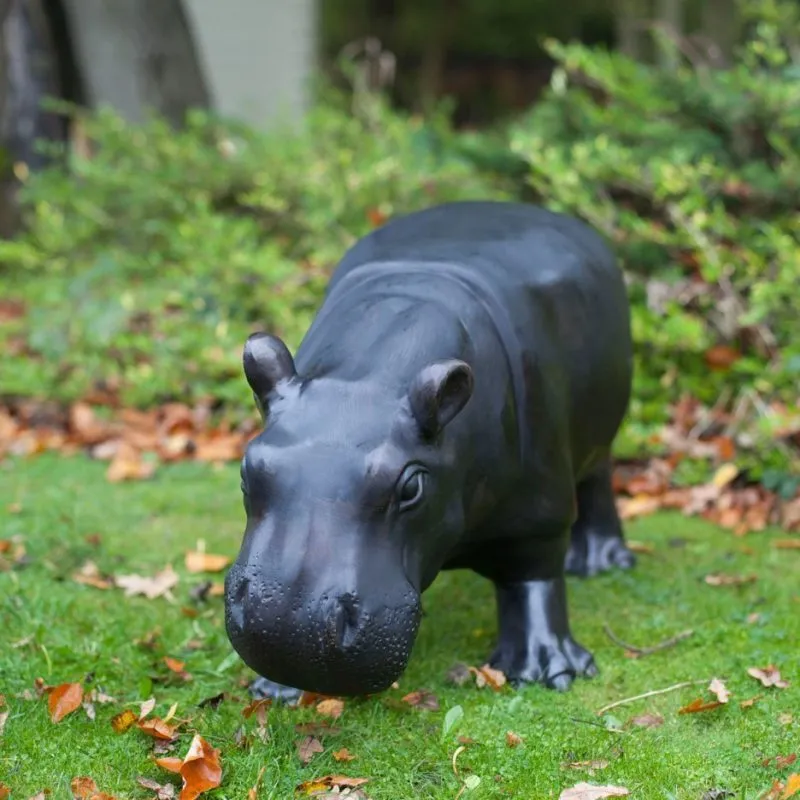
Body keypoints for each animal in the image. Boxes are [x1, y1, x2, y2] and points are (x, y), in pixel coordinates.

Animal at [224, 200, 635, 701]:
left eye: (411, 486)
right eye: (248, 469)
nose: (290, 631)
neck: (365, 381)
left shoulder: (539, 508)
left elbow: (532, 577)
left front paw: (547, 671)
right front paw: (277, 690)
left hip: (597, 438)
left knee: (597, 482)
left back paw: (598, 563)